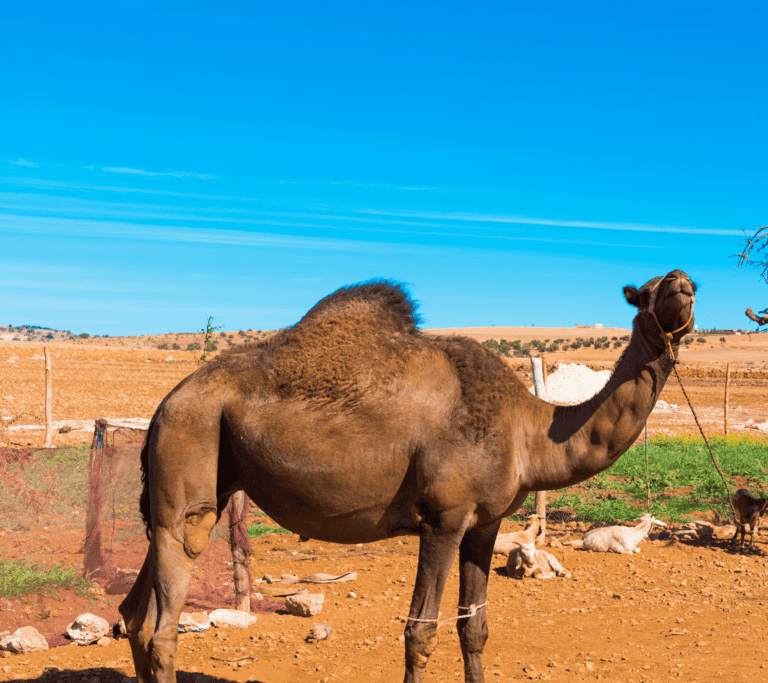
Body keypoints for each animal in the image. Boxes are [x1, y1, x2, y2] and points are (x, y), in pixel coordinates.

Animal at [119, 270, 696, 683]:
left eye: (682, 285)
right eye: (644, 294)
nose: (682, 283)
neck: (528, 432)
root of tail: (166, 403)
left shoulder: (484, 525)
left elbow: (475, 627)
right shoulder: (443, 518)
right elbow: (421, 631)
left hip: (201, 479)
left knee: (134, 614)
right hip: (190, 449)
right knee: (164, 623)